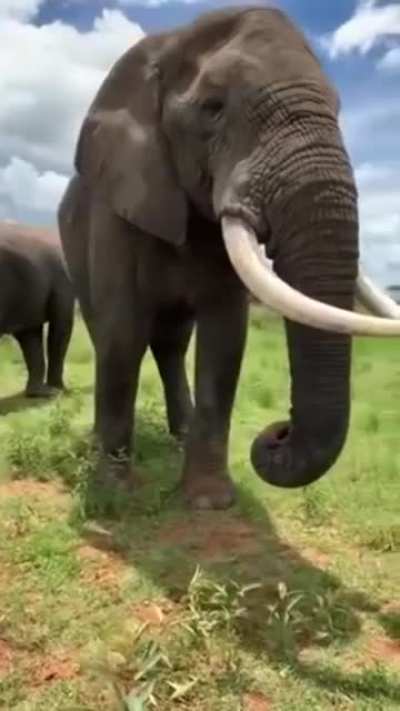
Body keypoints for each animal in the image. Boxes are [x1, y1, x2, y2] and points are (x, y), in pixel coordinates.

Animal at [58, 7, 400, 509]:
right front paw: (113, 495)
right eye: (213, 108)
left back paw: (180, 435)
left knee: (171, 343)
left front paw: (208, 502)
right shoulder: (119, 204)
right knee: (114, 334)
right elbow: (123, 331)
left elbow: (224, 340)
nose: (277, 433)